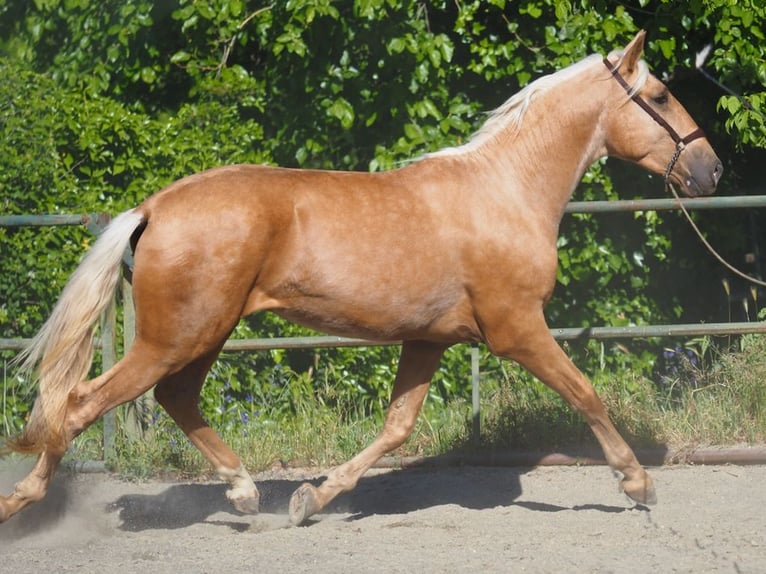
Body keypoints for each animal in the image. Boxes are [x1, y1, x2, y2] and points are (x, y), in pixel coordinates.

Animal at [1, 30, 720, 528]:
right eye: (659, 96)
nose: (710, 169)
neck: (505, 192)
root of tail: (154, 206)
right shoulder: (517, 329)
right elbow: (586, 393)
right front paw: (637, 484)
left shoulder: (429, 339)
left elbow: (397, 427)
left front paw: (311, 498)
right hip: (177, 336)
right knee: (81, 403)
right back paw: (24, 502)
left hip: (203, 334)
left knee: (174, 398)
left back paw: (245, 493)